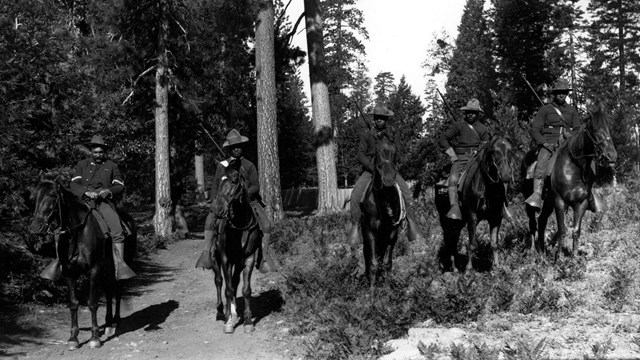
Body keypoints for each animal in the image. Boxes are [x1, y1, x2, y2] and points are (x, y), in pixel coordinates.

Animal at [28, 179, 136, 350]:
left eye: (52, 195)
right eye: (34, 197)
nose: (35, 227)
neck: (78, 233)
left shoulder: (94, 270)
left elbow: (92, 303)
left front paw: (94, 338)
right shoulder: (69, 272)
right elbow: (73, 303)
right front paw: (73, 338)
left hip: (120, 265)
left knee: (118, 290)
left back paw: (116, 322)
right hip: (106, 269)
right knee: (109, 291)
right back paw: (108, 323)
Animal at [210, 159, 260, 334]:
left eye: (234, 181)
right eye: (219, 181)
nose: (217, 209)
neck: (239, 225)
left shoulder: (249, 257)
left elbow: (245, 289)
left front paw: (248, 321)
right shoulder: (225, 258)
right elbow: (228, 289)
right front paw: (228, 322)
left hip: (237, 262)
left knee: (234, 281)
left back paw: (233, 313)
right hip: (217, 260)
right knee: (219, 281)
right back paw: (222, 312)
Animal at [362, 136, 402, 288]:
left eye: (395, 152)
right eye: (377, 152)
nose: (389, 180)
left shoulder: (392, 232)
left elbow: (387, 263)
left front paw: (387, 290)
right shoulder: (370, 232)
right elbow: (373, 264)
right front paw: (372, 292)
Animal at [432, 136, 516, 272]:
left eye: (510, 150)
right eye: (493, 151)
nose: (506, 175)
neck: (487, 188)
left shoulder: (495, 218)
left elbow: (494, 244)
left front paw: (497, 267)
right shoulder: (472, 216)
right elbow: (472, 244)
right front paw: (469, 269)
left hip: (459, 222)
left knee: (454, 239)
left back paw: (455, 267)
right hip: (445, 220)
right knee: (450, 239)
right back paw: (453, 268)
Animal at [524, 104, 616, 256]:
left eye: (608, 127)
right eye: (594, 129)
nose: (611, 156)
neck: (574, 168)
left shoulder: (581, 203)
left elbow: (576, 231)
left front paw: (574, 257)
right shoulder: (560, 201)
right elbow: (562, 230)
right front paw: (559, 257)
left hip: (548, 203)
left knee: (542, 221)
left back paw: (542, 250)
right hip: (532, 201)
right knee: (532, 223)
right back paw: (532, 251)